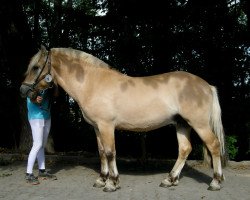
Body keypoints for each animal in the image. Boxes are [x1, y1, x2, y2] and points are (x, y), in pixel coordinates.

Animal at [20, 45, 226, 192]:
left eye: (36, 67)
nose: (23, 91)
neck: (92, 83)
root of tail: (206, 85)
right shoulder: (96, 127)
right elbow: (102, 152)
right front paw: (101, 180)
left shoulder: (106, 126)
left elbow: (110, 152)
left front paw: (112, 183)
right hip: (182, 124)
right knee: (184, 149)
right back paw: (170, 179)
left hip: (199, 124)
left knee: (214, 145)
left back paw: (215, 182)